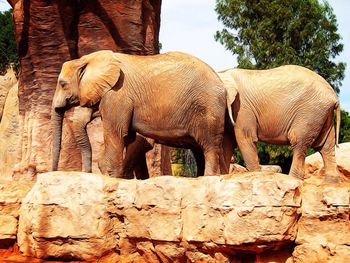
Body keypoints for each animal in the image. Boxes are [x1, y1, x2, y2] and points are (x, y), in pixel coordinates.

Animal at [51, 50, 227, 177]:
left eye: (63, 84)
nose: (53, 171)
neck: (88, 59)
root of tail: (220, 81)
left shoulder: (117, 95)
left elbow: (117, 133)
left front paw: (112, 176)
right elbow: (128, 137)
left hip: (208, 109)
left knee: (209, 146)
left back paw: (208, 177)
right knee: (200, 150)